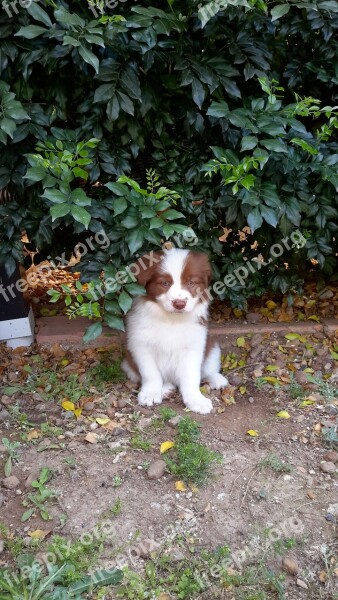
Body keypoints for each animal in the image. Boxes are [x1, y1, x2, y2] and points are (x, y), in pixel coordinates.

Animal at [121, 248, 227, 412]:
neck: (171, 320)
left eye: (191, 283)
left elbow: (191, 377)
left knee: (208, 370)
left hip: (213, 348)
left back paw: (217, 379)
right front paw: (150, 394)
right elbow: (151, 374)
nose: (179, 303)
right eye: (164, 283)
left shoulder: (194, 346)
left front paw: (197, 400)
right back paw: (166, 389)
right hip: (128, 365)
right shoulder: (141, 346)